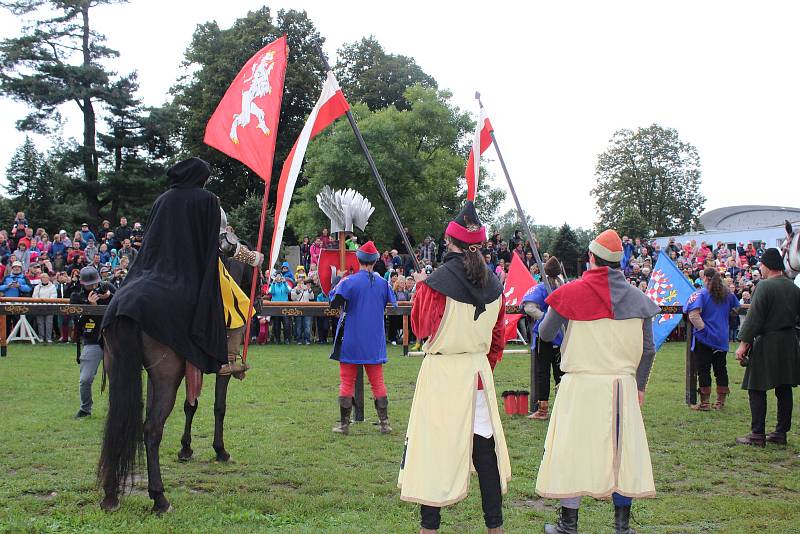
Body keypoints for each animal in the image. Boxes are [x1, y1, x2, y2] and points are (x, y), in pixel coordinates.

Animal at [98, 260, 258, 516]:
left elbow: (190, 406)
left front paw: (186, 449)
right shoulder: (217, 369)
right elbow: (219, 407)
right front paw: (220, 451)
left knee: (119, 423)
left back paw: (111, 495)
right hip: (167, 375)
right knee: (152, 429)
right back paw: (159, 498)